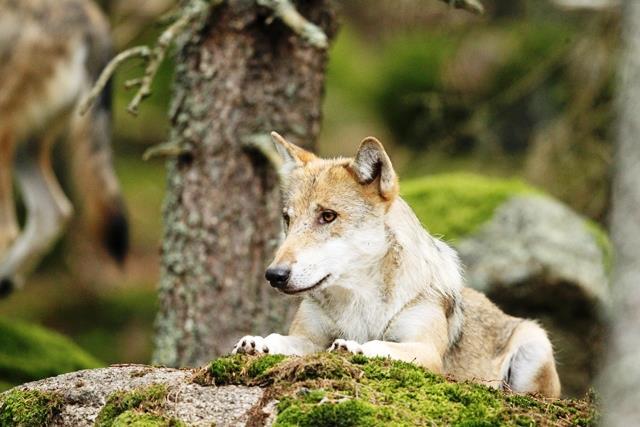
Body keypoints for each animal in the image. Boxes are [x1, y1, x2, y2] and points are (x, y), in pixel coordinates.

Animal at [232, 132, 564, 400]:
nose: (274, 275)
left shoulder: (425, 351)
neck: (359, 301)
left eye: (327, 216)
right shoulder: (309, 339)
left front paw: (354, 347)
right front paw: (257, 342)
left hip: (536, 342)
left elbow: (382, 346)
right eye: (288, 219)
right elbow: (282, 341)